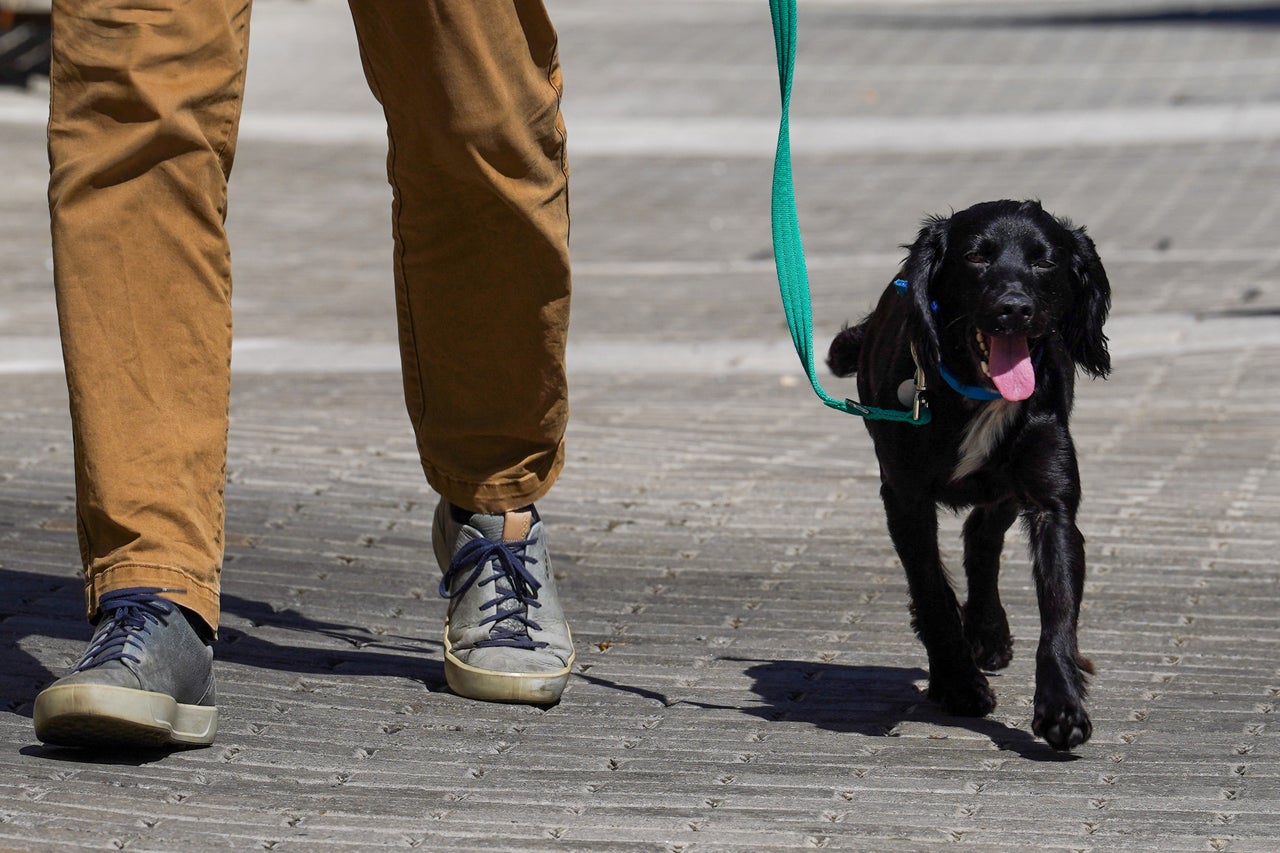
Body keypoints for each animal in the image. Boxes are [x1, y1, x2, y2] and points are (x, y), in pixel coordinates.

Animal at [829, 197, 1111, 742]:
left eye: (1045, 261)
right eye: (976, 257)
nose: (1015, 307)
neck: (976, 392)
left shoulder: (1051, 501)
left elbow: (1059, 611)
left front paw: (1061, 707)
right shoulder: (905, 498)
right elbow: (932, 592)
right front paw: (959, 684)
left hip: (1005, 490)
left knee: (982, 537)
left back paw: (989, 631)